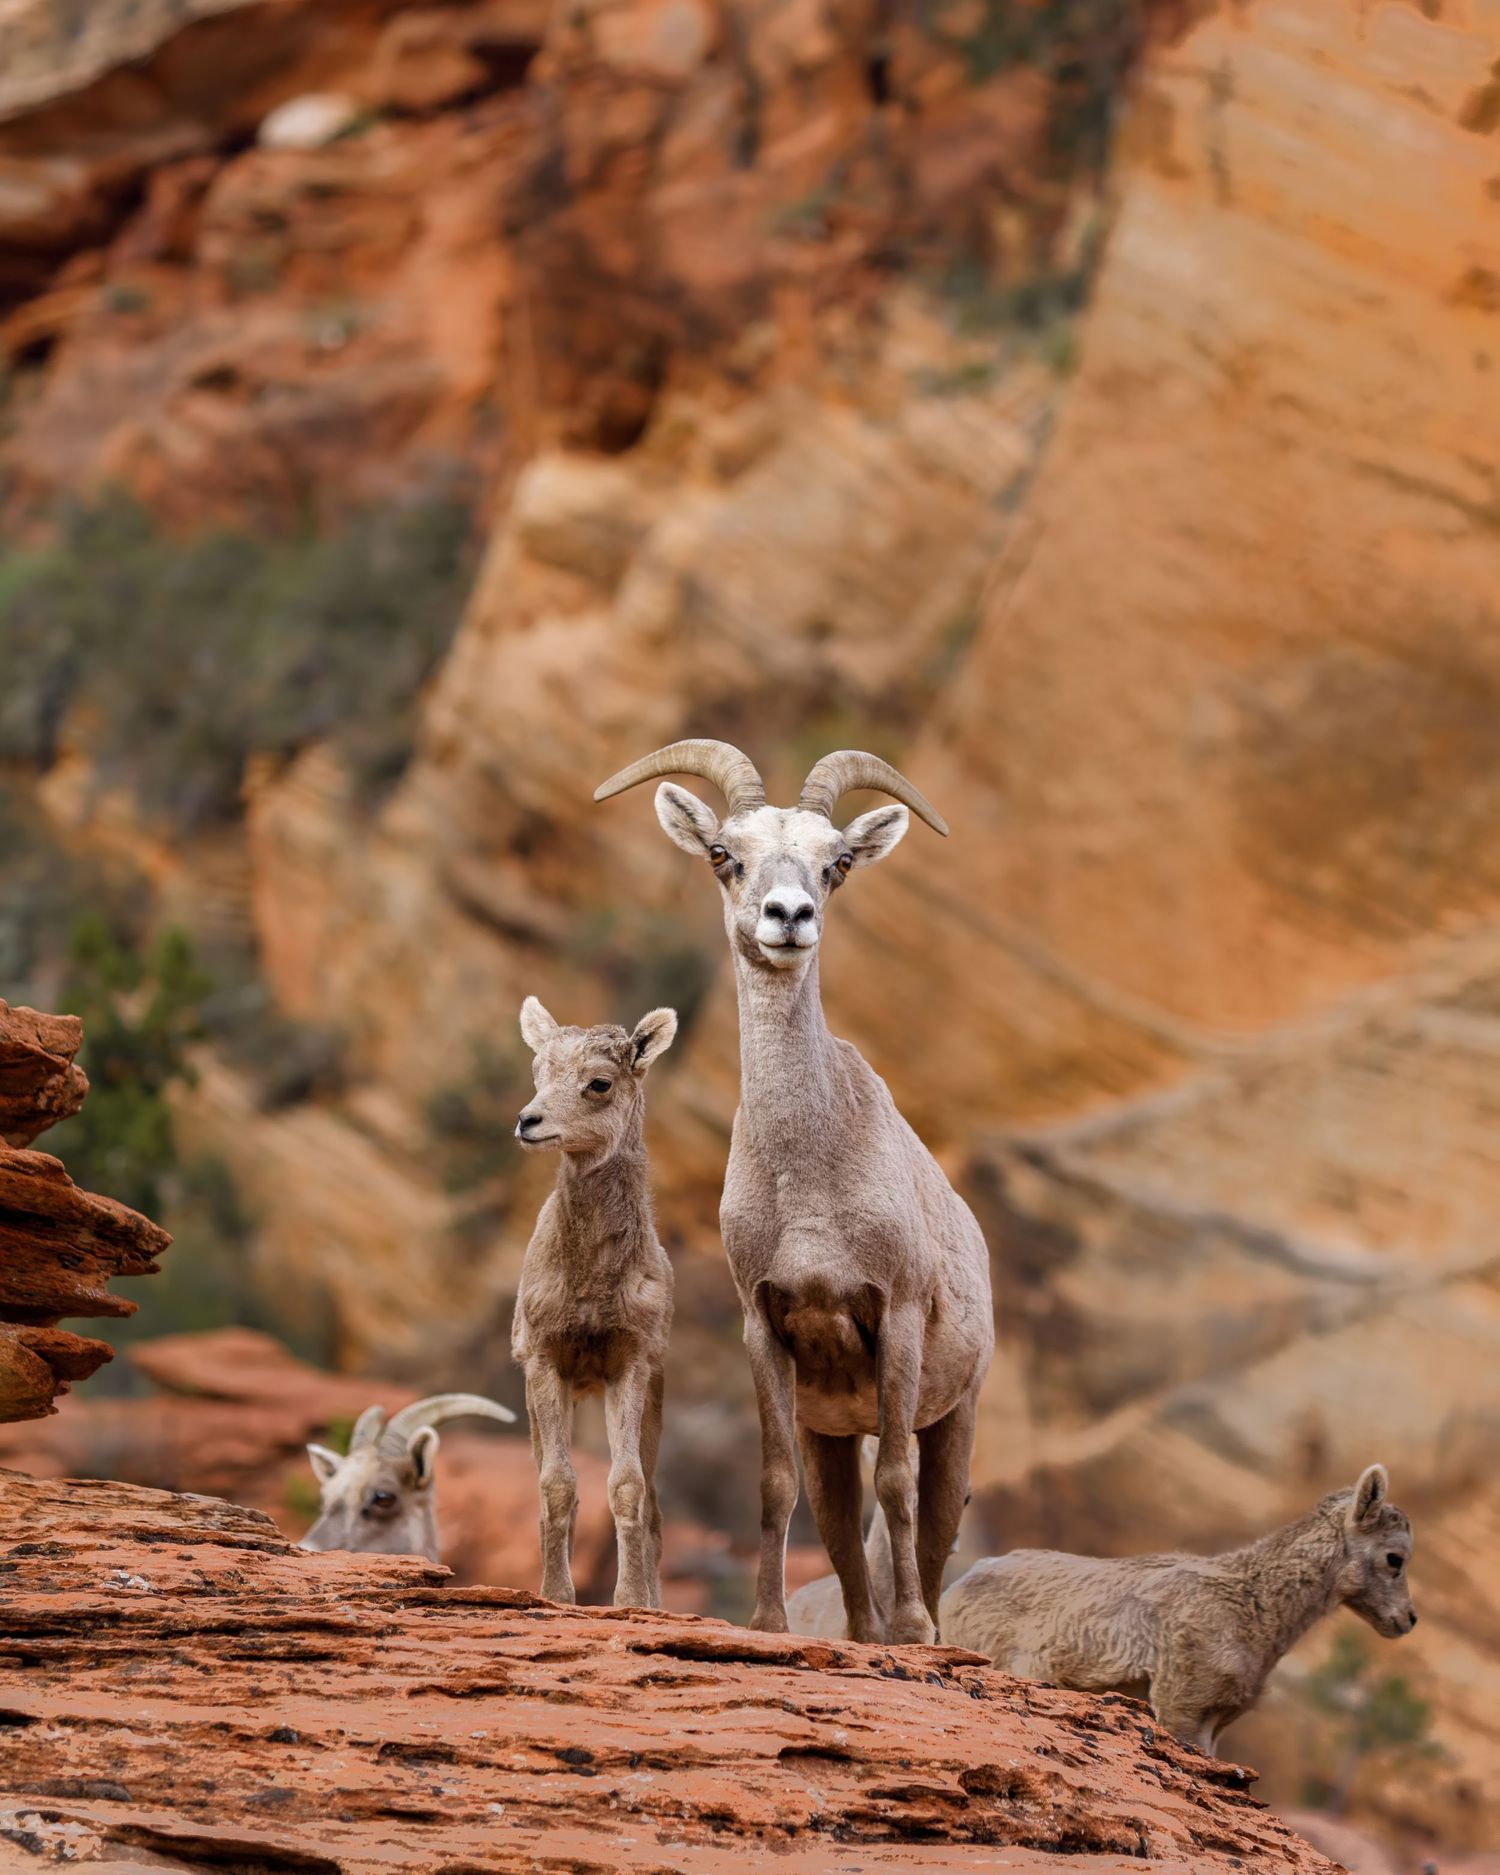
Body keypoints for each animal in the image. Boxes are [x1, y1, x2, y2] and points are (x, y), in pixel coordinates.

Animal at [511, 997, 677, 1610]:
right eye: (539, 1072)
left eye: (599, 1083)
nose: (528, 1121)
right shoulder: (544, 1361)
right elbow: (557, 1486)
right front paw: (558, 1595)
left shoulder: (628, 1364)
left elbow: (627, 1487)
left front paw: (630, 1601)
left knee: (654, 1506)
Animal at [595, 741, 994, 1644]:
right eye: (724, 855)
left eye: (836, 862)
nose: (789, 915)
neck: (809, 1184)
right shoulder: (767, 1327)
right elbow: (776, 1483)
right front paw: (769, 1623)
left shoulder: (898, 1319)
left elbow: (897, 1481)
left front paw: (912, 1632)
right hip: (831, 1434)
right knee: (841, 1529)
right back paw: (862, 1636)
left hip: (954, 1415)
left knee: (933, 1520)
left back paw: (922, 1631)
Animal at [939, 1463, 1417, 1755]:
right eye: (1395, 1558)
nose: (1407, 1620)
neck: (1256, 1606)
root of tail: (954, 1591)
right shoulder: (1182, 1709)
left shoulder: (1216, 1722)